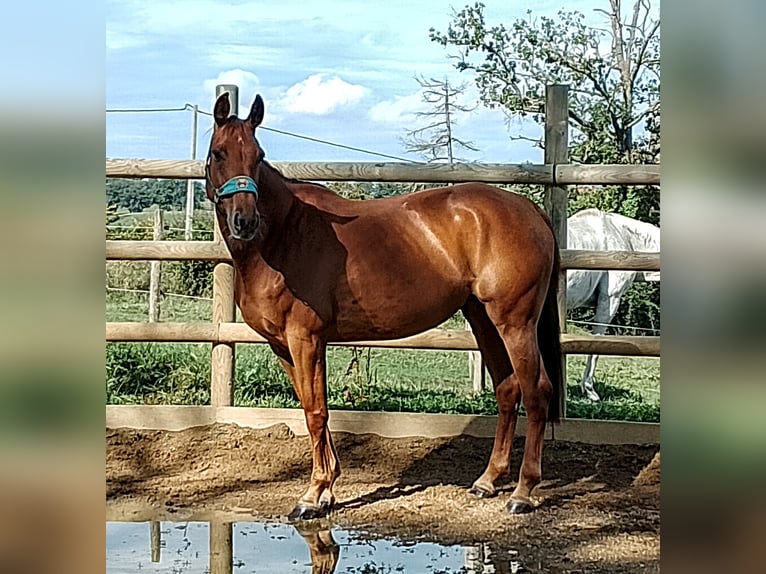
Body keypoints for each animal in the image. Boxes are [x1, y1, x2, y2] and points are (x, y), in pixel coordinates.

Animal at [204, 94, 564, 520]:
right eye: (219, 153)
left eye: (258, 155)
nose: (244, 220)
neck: (283, 236)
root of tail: (529, 209)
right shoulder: (284, 345)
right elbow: (313, 407)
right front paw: (327, 490)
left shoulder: (305, 339)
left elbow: (315, 412)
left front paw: (312, 494)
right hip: (483, 319)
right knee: (507, 390)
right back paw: (488, 481)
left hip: (515, 322)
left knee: (536, 392)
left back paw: (523, 492)